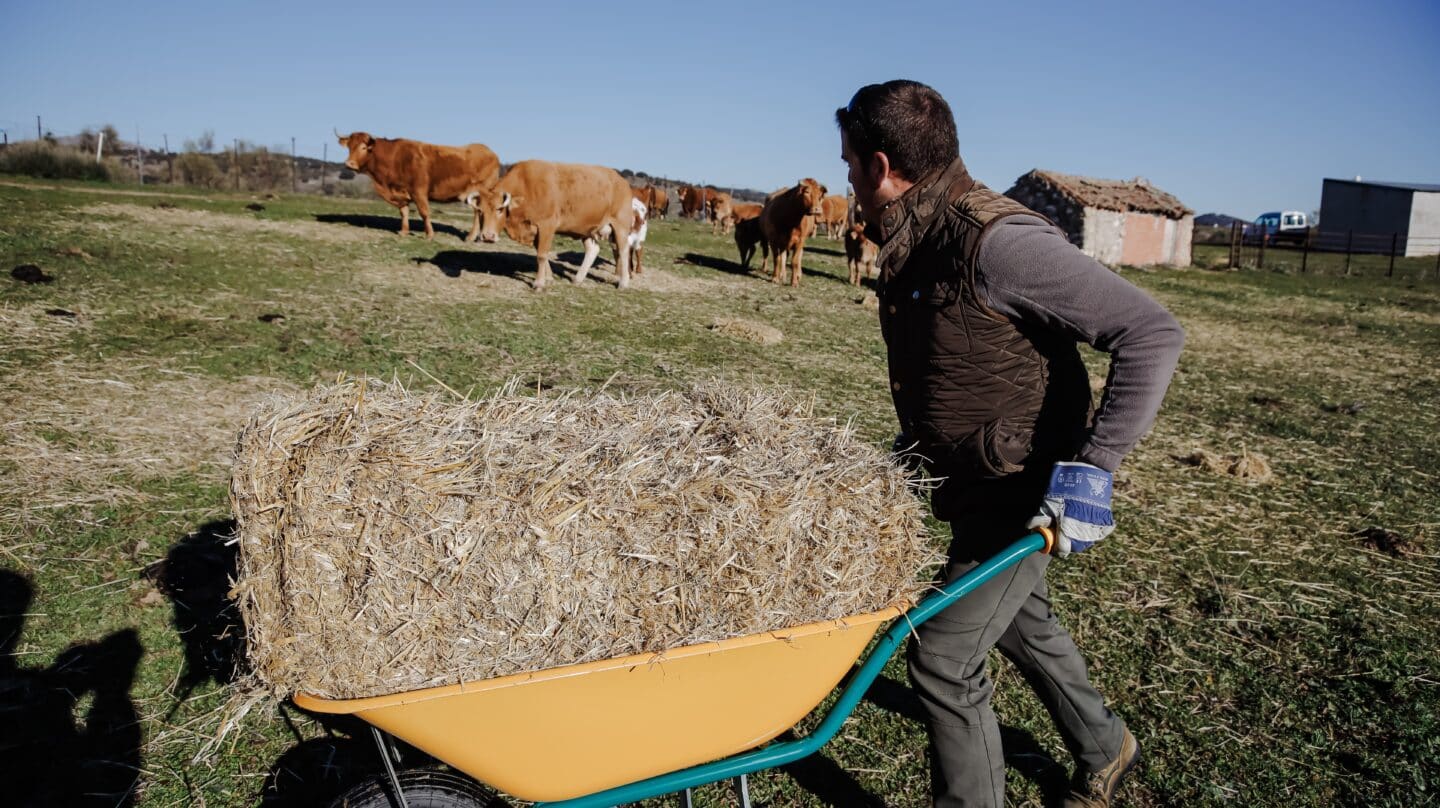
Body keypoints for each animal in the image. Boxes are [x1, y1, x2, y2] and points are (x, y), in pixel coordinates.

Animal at [336, 131, 501, 239]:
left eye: (363, 148)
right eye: (349, 147)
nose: (349, 164)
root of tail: (488, 151)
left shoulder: (419, 191)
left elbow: (424, 212)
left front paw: (429, 234)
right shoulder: (401, 193)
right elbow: (404, 212)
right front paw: (403, 231)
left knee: (478, 212)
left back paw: (471, 237)